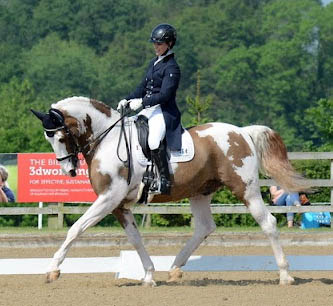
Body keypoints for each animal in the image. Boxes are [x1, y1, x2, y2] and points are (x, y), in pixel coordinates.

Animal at [31, 97, 308, 286]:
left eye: (60, 137)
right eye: (48, 139)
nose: (68, 170)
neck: (107, 140)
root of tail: (242, 132)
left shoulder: (109, 198)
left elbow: (76, 228)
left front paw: (52, 270)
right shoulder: (119, 205)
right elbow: (135, 239)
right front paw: (149, 275)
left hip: (245, 189)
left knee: (268, 223)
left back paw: (285, 275)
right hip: (200, 192)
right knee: (205, 227)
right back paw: (175, 267)